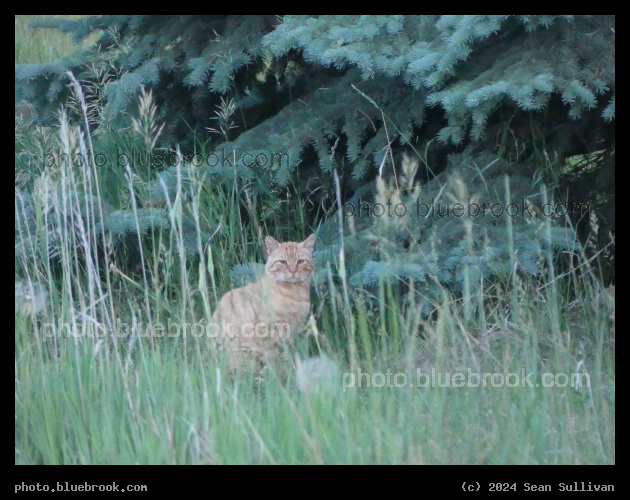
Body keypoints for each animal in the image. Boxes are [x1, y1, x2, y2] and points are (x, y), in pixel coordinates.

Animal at [212, 234, 318, 376]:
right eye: (283, 262)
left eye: (300, 261)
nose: (293, 270)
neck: (294, 293)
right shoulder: (269, 331)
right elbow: (280, 359)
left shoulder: (292, 332)